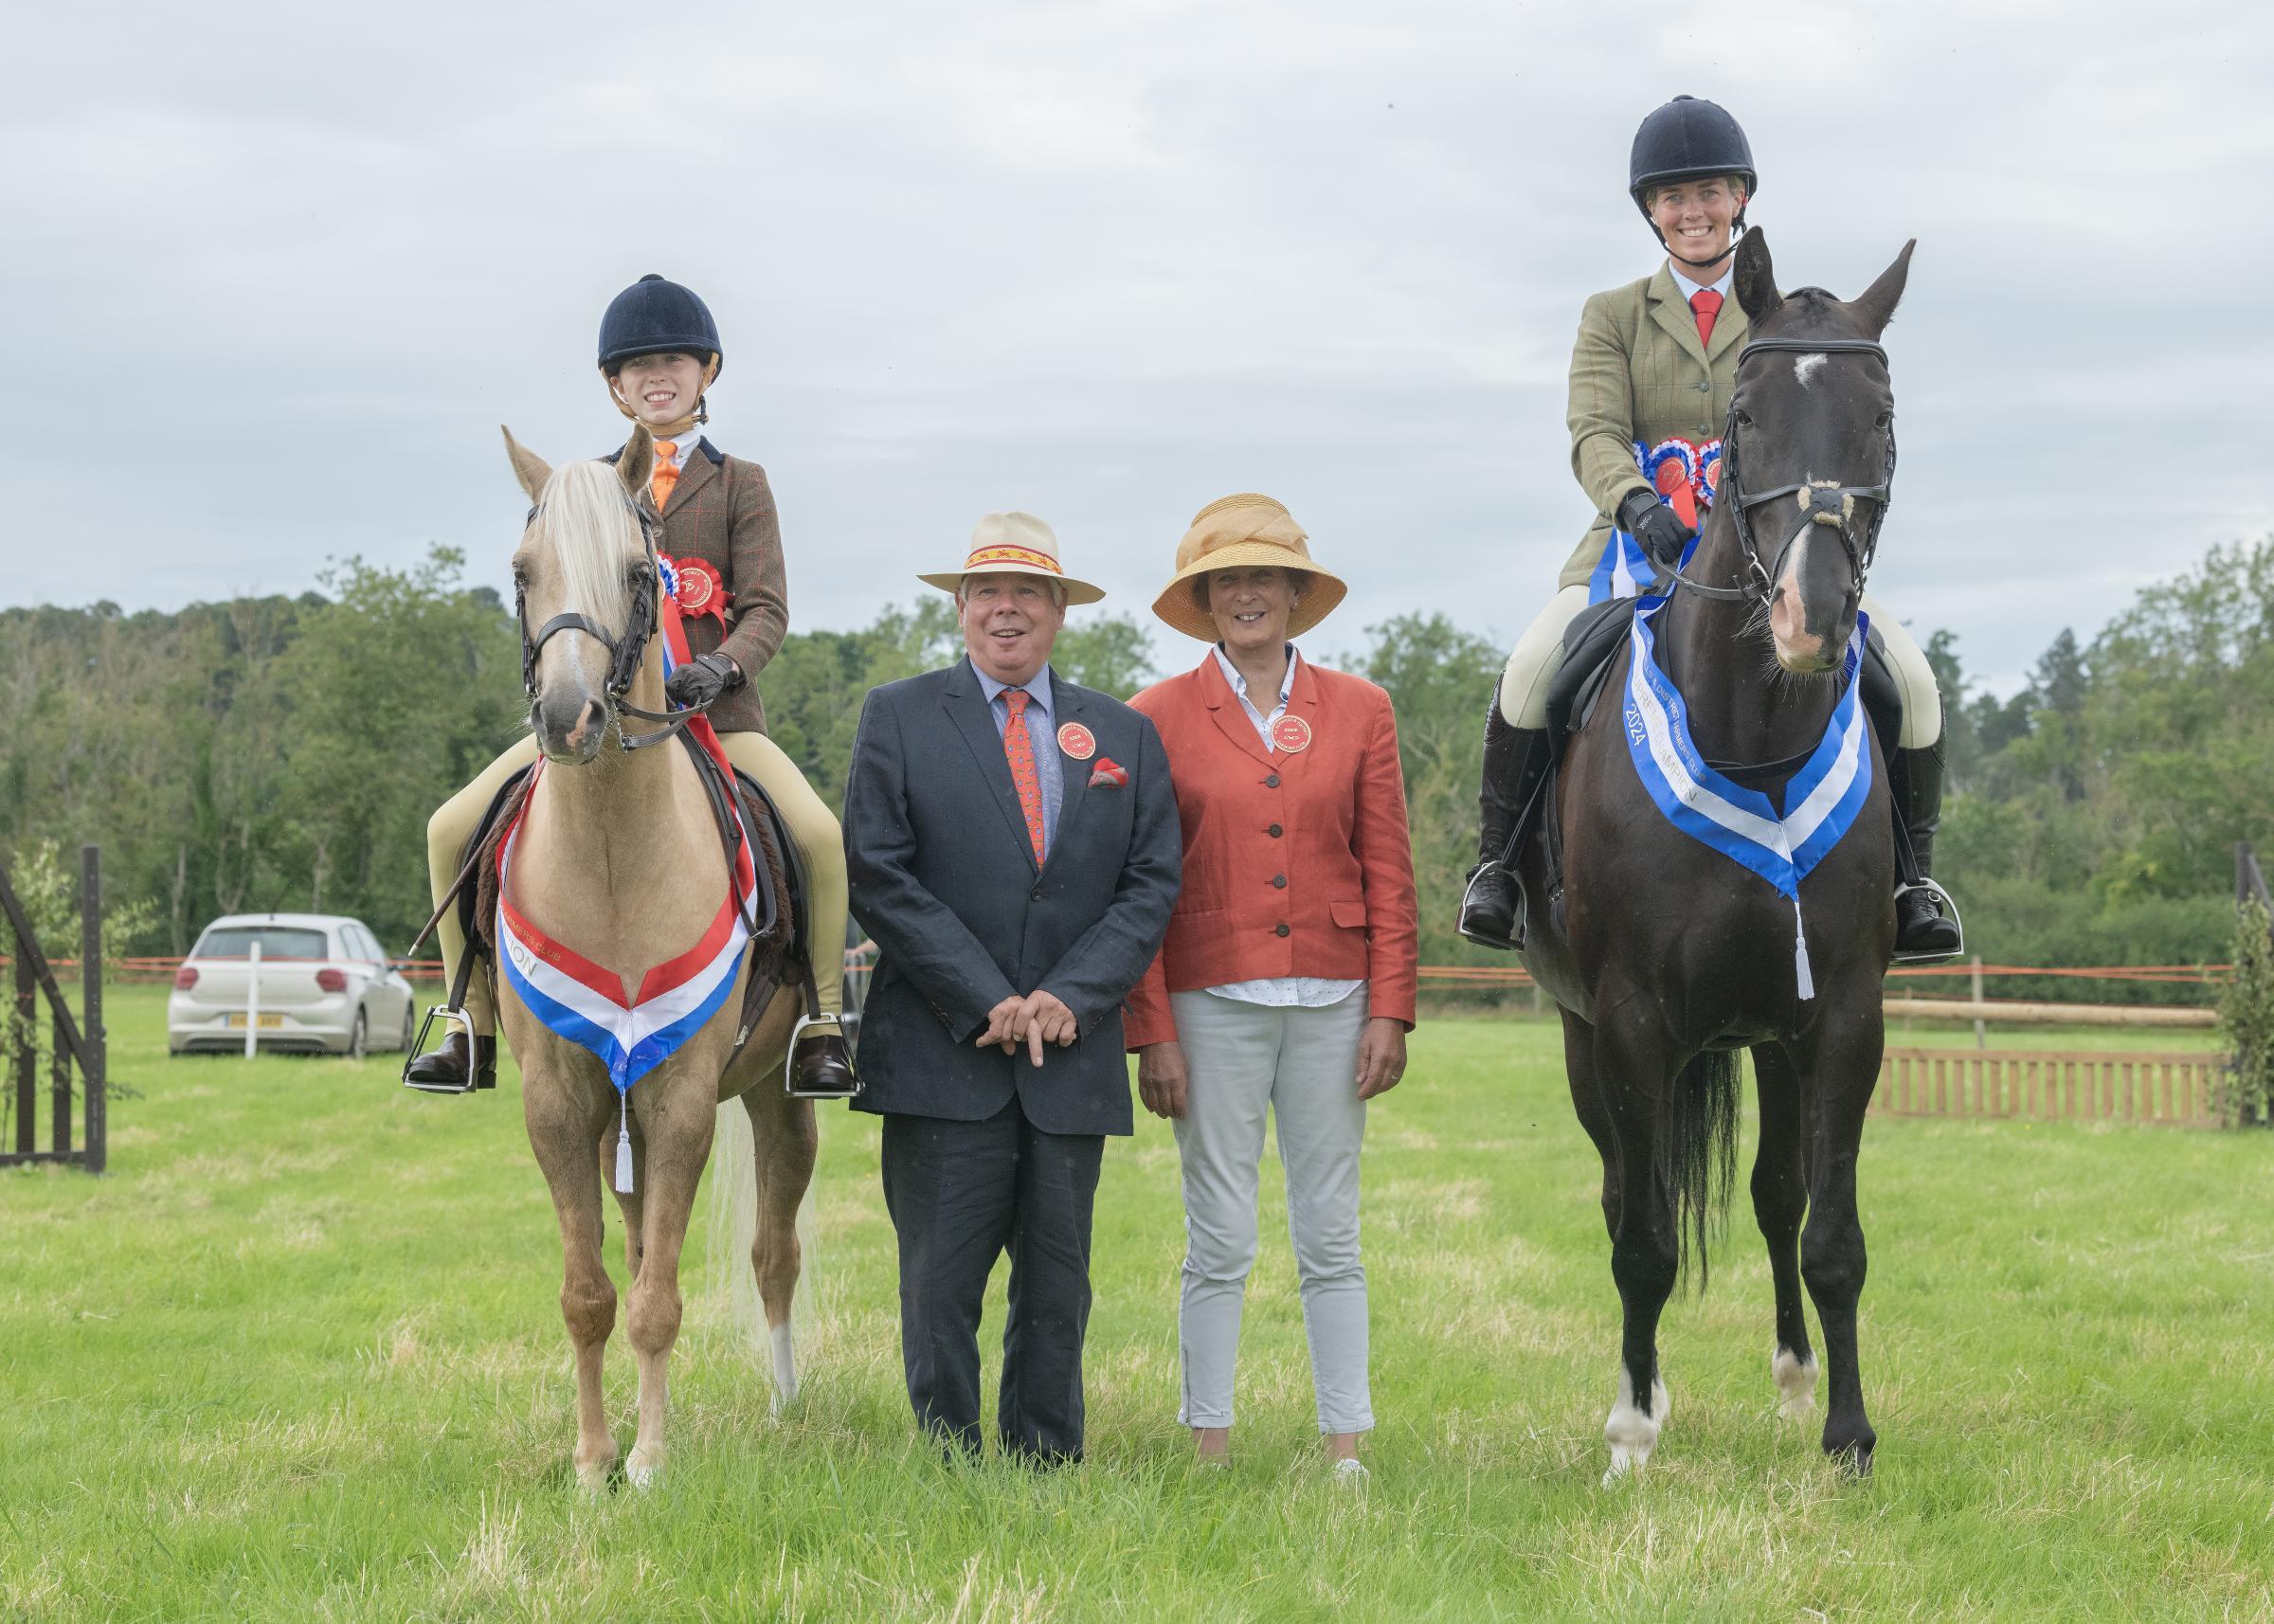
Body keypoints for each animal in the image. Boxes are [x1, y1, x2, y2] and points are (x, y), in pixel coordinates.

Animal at [500, 423, 819, 1483]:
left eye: (642, 574)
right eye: (522, 571)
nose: (569, 718)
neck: (609, 851)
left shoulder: (681, 1101)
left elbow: (658, 1301)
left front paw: (647, 1461)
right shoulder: (560, 1100)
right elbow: (593, 1293)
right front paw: (594, 1458)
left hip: (776, 1099)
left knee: (773, 1253)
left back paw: (784, 1401)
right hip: (616, 1116)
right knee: (639, 1246)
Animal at [1519, 230, 1910, 1483]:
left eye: (1879, 416)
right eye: (1743, 417)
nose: (1809, 618)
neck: (1753, 731)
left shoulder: (1843, 1015)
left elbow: (1832, 1233)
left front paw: (1849, 1436)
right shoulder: (1631, 1021)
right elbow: (1642, 1238)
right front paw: (1632, 1431)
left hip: (1771, 1037)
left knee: (1777, 1195)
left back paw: (1792, 1376)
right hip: (1584, 1039)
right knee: (1619, 1194)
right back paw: (1640, 1393)